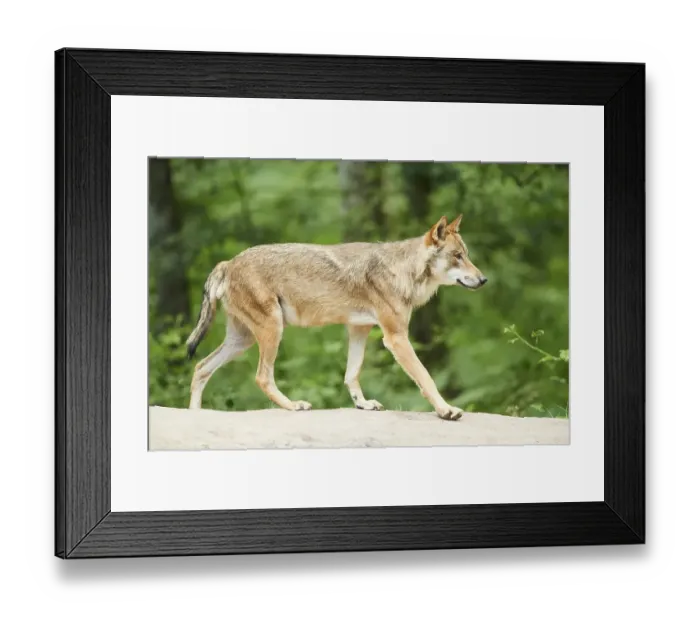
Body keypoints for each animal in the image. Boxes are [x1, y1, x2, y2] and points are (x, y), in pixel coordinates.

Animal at [185, 215, 487, 420]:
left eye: (467, 255)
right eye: (457, 256)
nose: (484, 279)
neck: (404, 271)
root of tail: (228, 263)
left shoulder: (359, 329)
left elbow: (351, 374)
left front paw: (362, 404)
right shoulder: (396, 338)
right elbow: (426, 377)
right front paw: (446, 409)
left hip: (243, 340)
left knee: (200, 367)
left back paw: (195, 415)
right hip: (272, 330)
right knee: (261, 377)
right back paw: (294, 405)